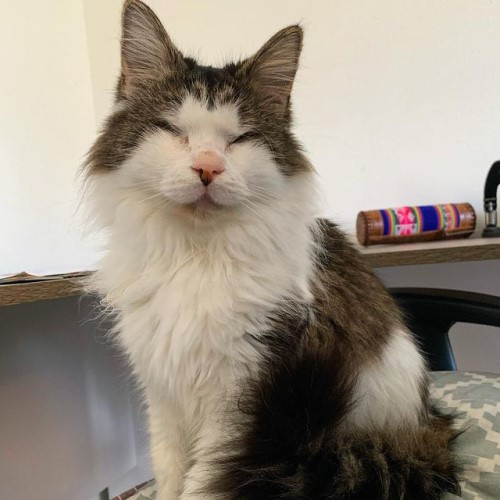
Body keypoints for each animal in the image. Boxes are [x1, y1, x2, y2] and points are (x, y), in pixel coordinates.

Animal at [84, 1, 462, 498]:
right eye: (173, 131)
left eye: (239, 139)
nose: (207, 168)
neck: (196, 256)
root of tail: (430, 422)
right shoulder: (162, 393)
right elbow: (169, 475)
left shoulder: (241, 400)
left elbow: (202, 484)